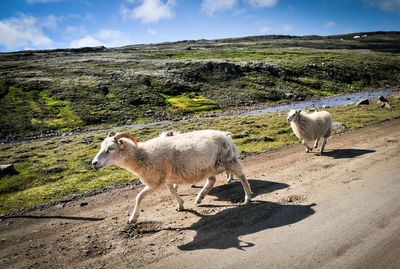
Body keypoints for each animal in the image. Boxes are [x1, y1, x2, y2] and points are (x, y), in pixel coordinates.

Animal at [92, 129, 252, 222]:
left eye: (111, 148)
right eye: (101, 147)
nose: (94, 163)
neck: (142, 155)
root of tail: (225, 134)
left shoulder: (154, 182)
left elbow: (139, 197)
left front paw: (133, 218)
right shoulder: (166, 178)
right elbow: (172, 191)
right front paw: (180, 204)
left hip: (228, 160)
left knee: (242, 177)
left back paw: (247, 197)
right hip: (208, 167)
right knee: (212, 180)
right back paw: (199, 197)